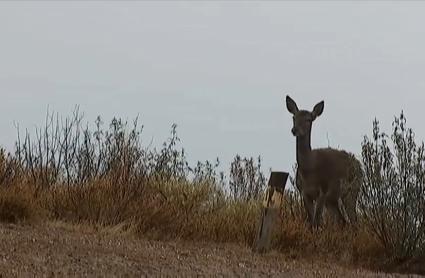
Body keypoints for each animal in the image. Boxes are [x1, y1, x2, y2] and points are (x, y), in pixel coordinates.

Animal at [284, 95, 362, 228]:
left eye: (309, 119)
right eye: (294, 117)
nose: (295, 130)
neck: (309, 169)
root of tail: (359, 166)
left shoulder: (323, 191)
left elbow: (317, 221)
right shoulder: (304, 192)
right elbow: (311, 221)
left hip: (352, 191)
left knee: (353, 219)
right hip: (332, 200)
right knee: (342, 220)